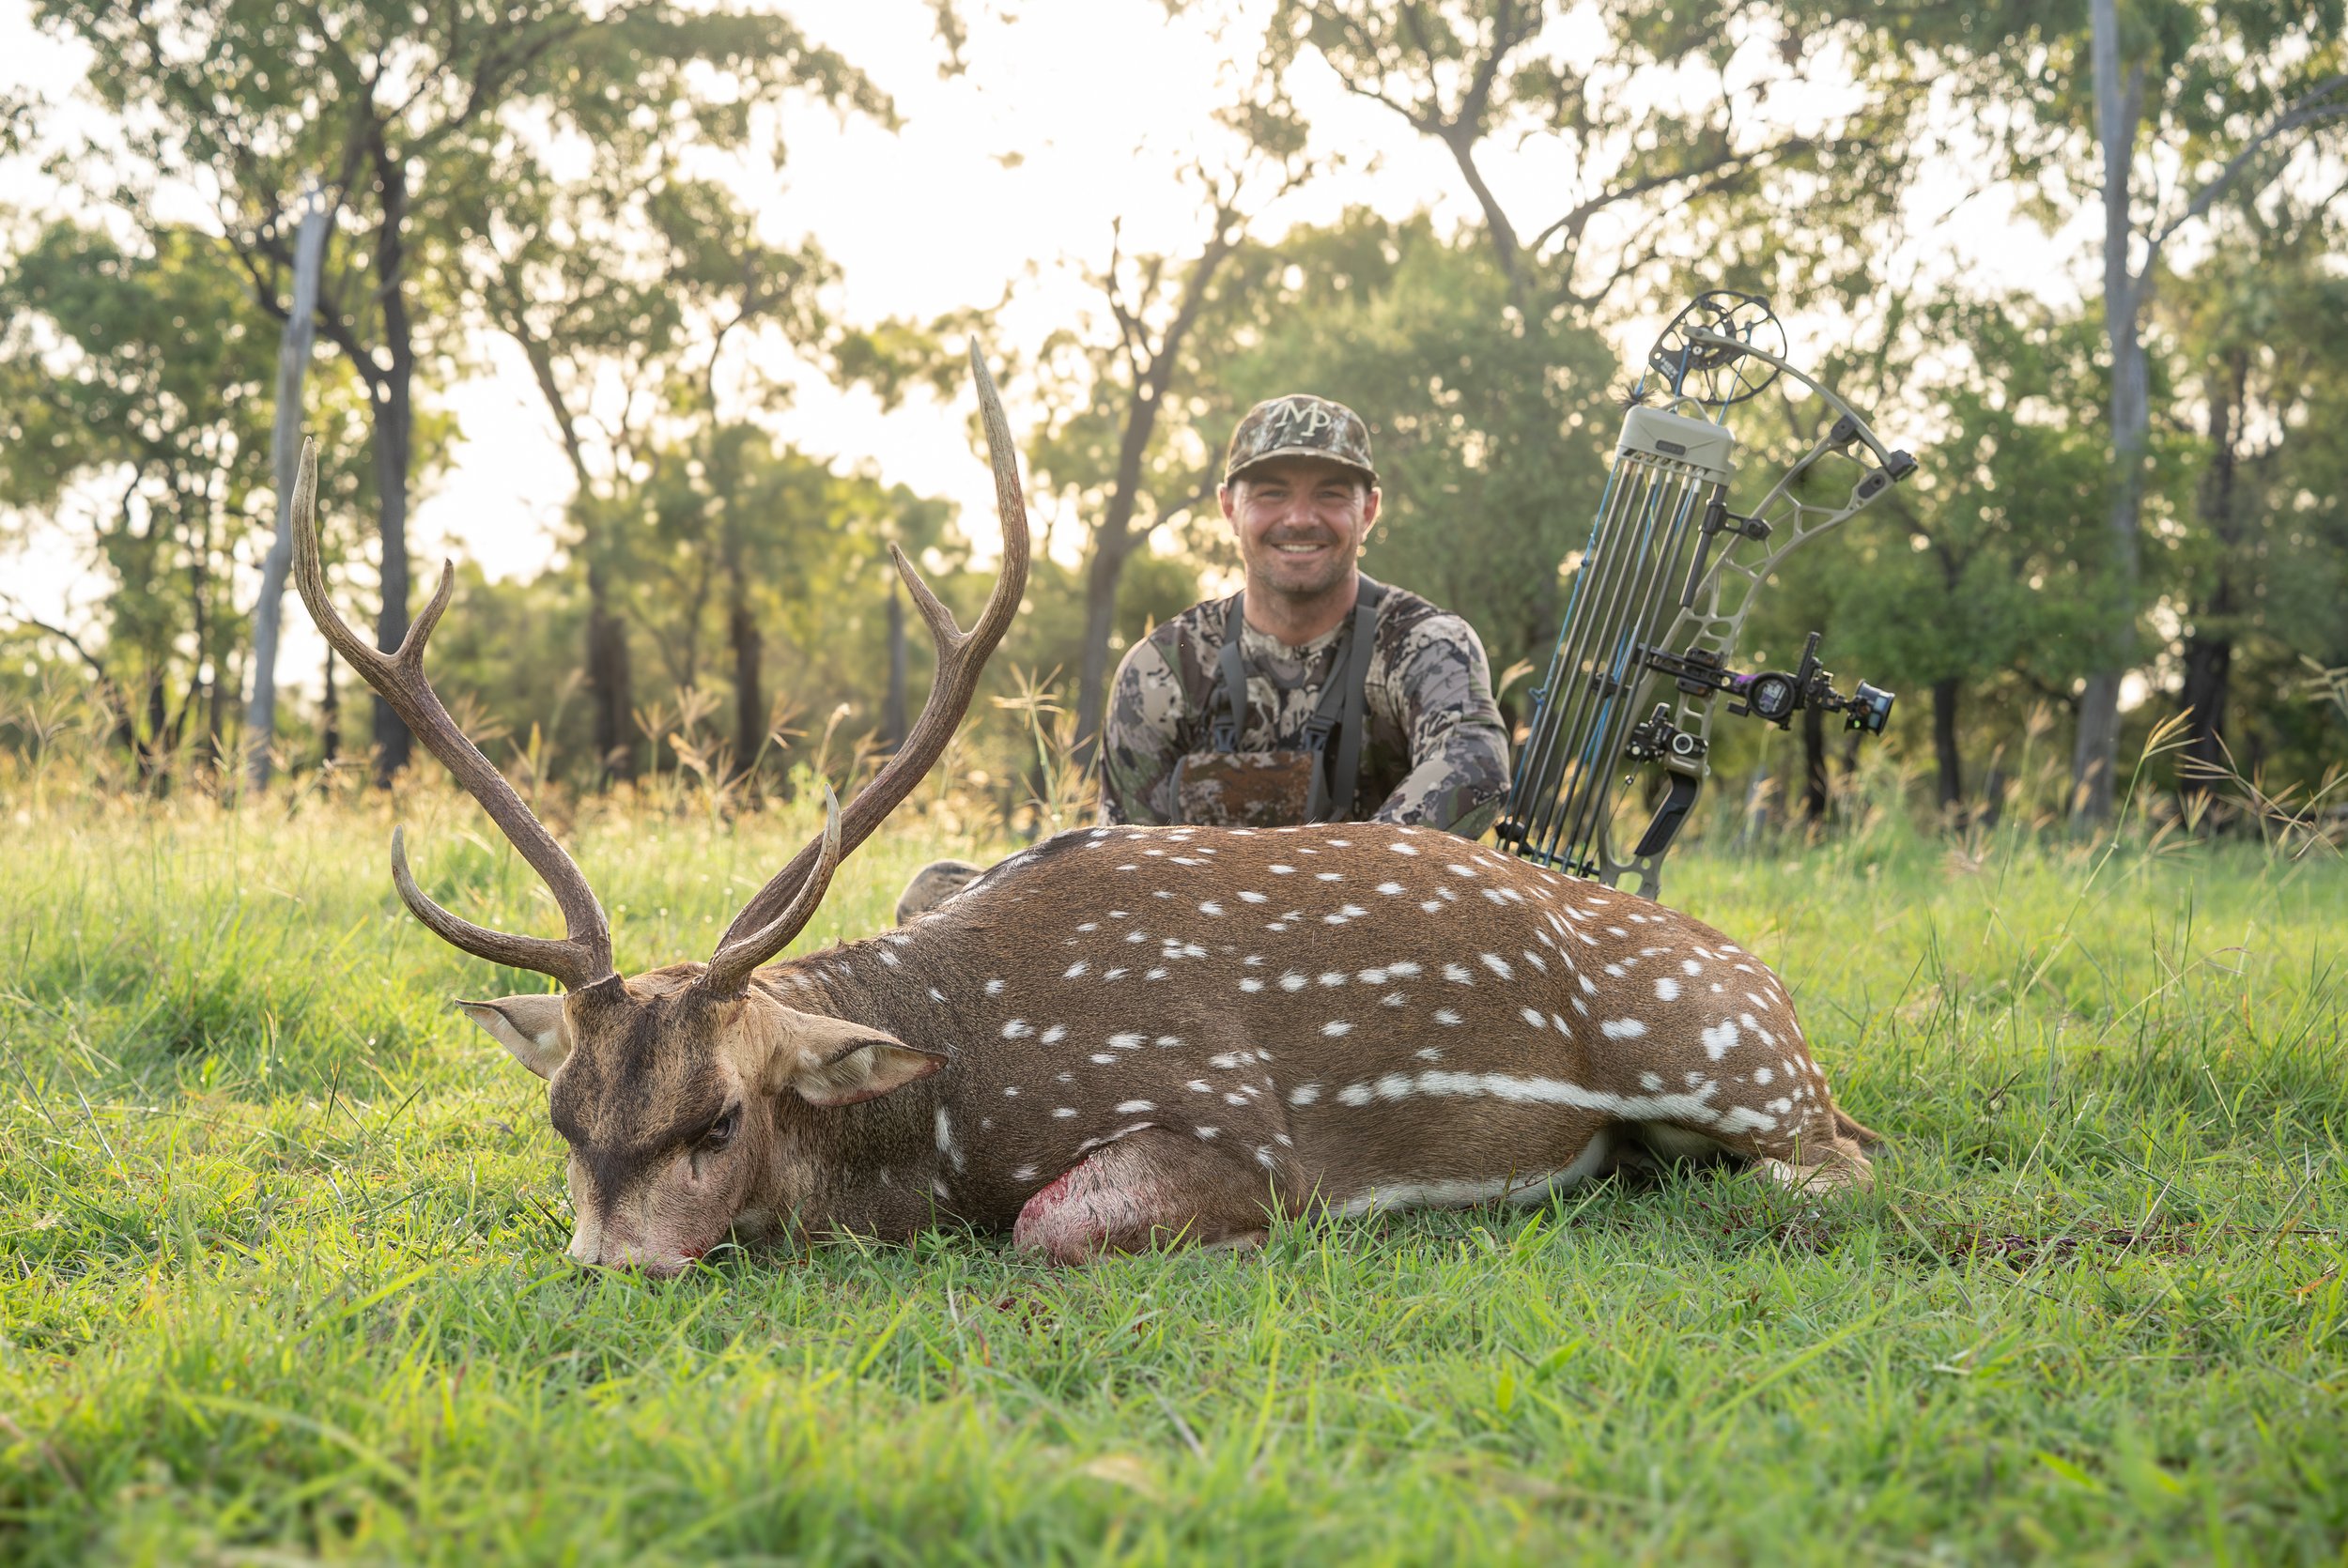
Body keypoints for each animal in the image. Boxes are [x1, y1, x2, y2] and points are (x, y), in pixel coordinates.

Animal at [290, 346, 1880, 1276]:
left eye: (717, 1116)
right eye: (563, 1115)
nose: (612, 1267)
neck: (953, 1101)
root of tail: (1775, 982)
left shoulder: (1237, 1127)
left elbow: (1054, 1220)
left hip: (1719, 1051)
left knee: (1845, 1160)